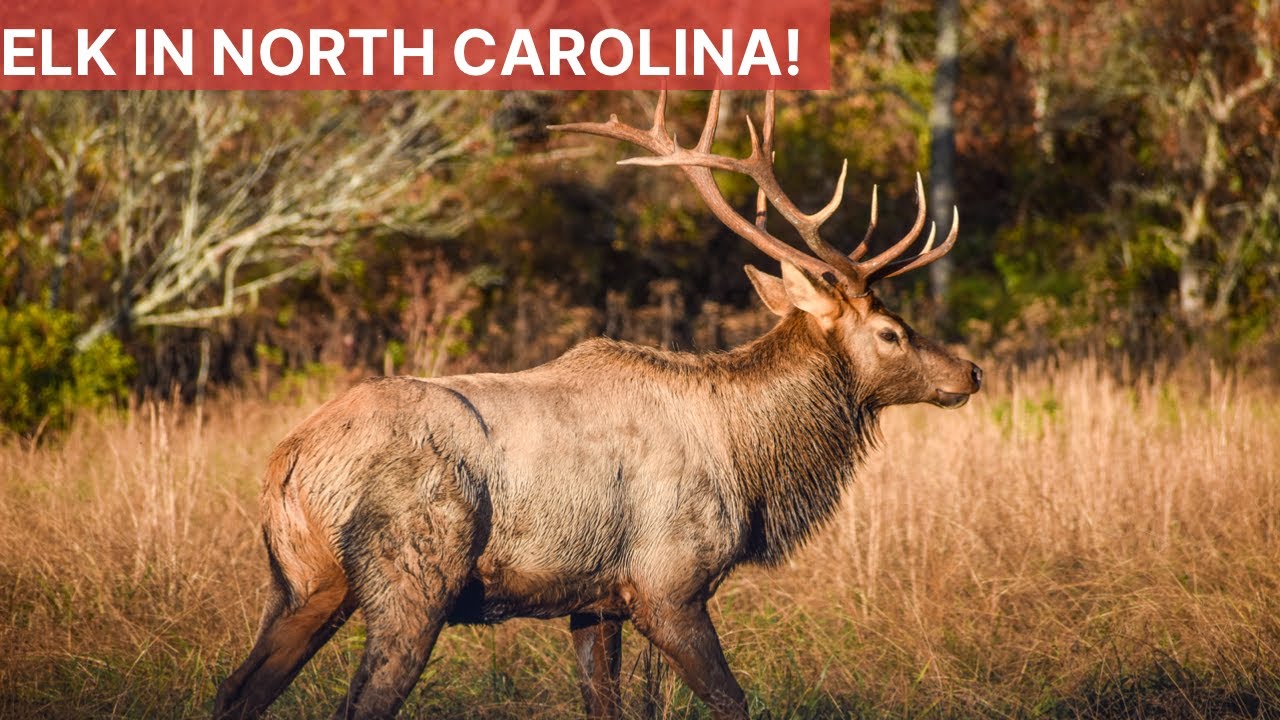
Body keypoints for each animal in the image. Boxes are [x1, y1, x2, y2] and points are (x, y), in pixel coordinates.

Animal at [213, 90, 982, 720]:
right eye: (891, 331)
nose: (969, 371)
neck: (747, 459)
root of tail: (288, 464)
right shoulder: (668, 583)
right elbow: (732, 701)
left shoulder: (593, 600)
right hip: (412, 577)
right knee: (361, 699)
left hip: (305, 582)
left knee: (236, 689)